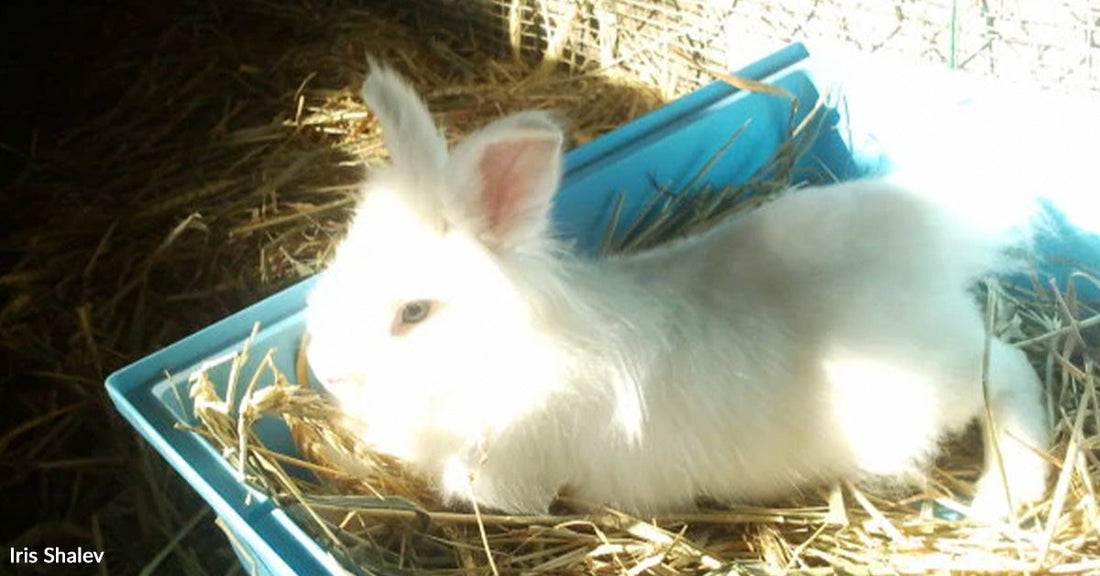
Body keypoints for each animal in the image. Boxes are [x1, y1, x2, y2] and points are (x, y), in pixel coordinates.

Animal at [303, 62, 1051, 520]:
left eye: (414, 312)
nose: (323, 368)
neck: (504, 354)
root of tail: (936, 231)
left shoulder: (507, 481)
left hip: (933, 390)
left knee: (1012, 368)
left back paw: (1003, 496)